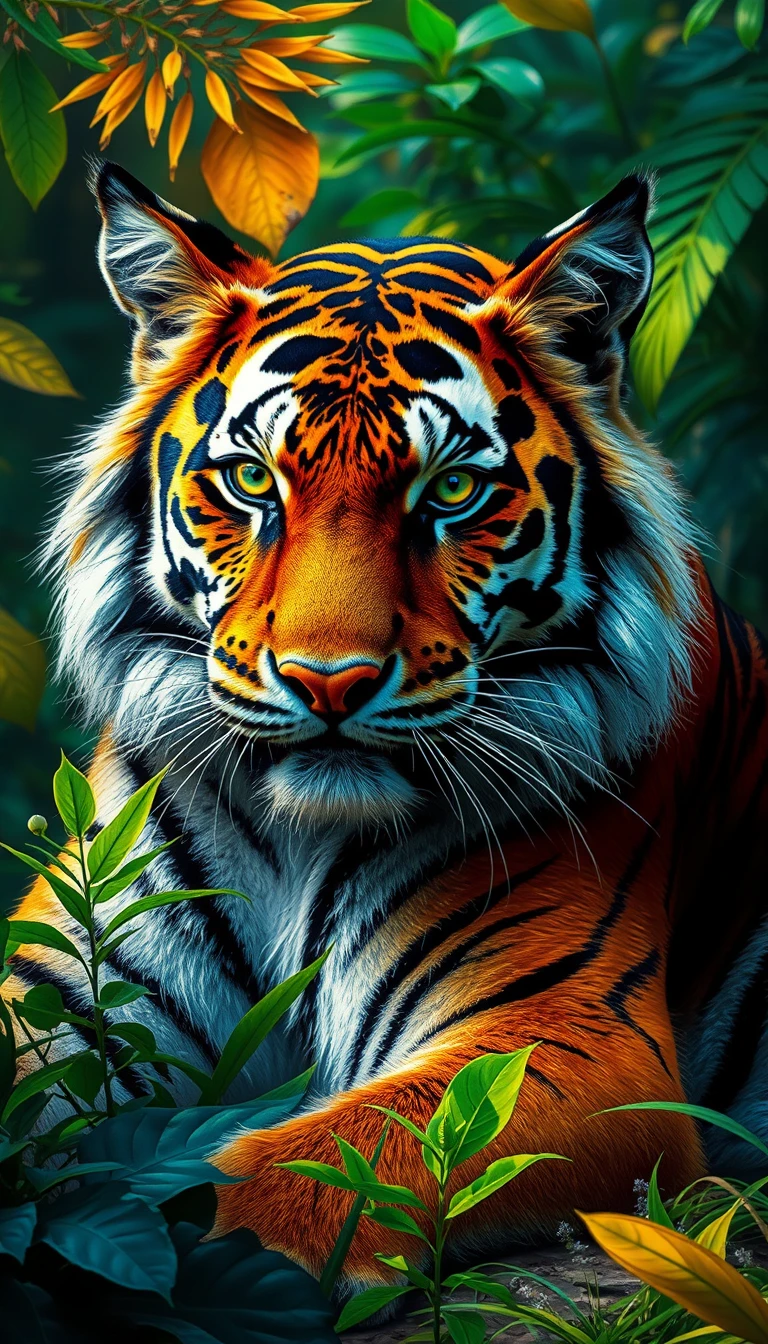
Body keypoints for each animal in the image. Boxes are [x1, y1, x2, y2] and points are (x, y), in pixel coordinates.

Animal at [6, 161, 768, 1295]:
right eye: (252, 480)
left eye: (451, 490)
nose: (330, 682)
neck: (297, 836)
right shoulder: (63, 990)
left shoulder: (572, 1035)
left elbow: (283, 1175)